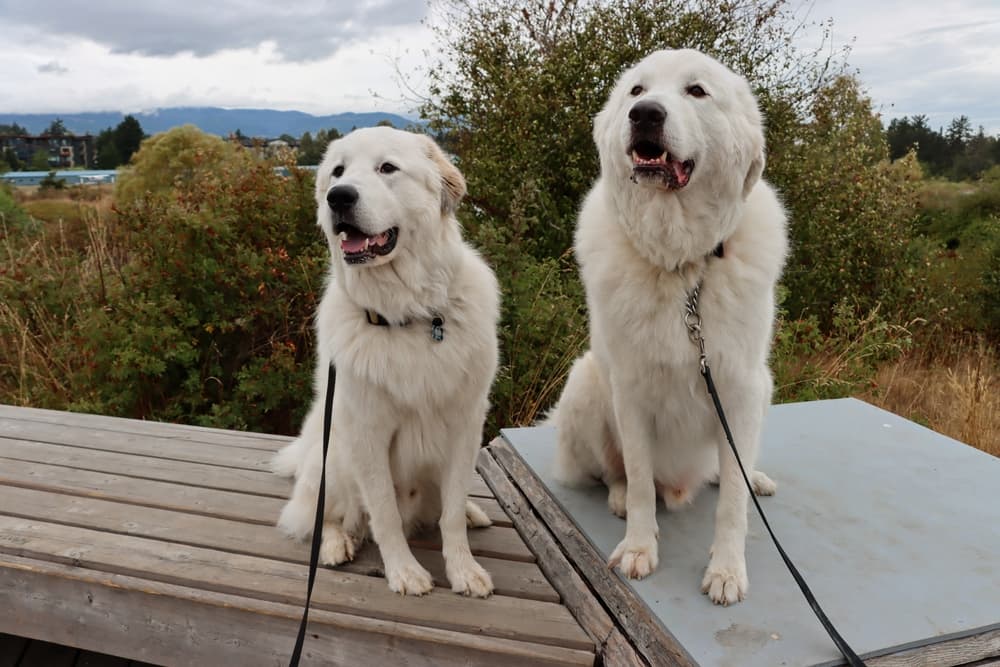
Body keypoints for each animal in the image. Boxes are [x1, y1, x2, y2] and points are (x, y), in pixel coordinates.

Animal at [272, 128, 498, 596]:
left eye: (387, 168)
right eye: (338, 171)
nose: (338, 197)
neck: (407, 315)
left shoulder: (465, 424)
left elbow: (451, 512)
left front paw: (463, 569)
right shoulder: (367, 432)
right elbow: (384, 513)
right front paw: (404, 571)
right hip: (331, 455)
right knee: (318, 517)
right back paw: (334, 545)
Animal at [548, 49, 788, 608]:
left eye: (696, 91)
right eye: (636, 91)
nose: (645, 116)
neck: (682, 266)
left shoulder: (741, 388)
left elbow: (733, 506)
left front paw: (727, 569)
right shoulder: (632, 390)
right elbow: (639, 479)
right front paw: (639, 547)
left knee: (732, 469)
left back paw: (749, 477)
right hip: (586, 384)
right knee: (613, 473)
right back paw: (616, 497)